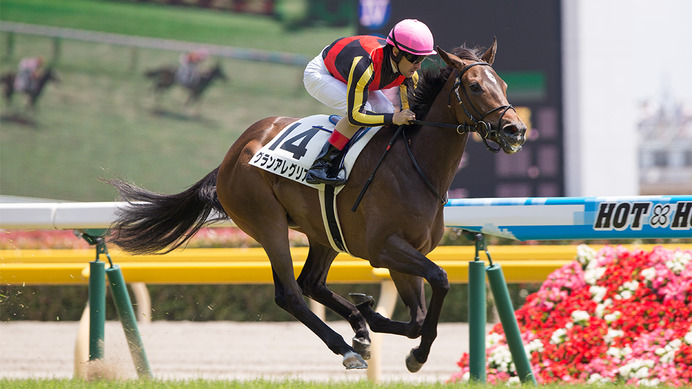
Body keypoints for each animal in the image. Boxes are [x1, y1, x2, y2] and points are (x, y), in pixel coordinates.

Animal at [111, 41, 528, 372]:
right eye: (474, 86)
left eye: (505, 85)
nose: (515, 130)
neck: (415, 164)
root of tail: (231, 155)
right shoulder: (383, 248)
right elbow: (439, 281)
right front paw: (414, 353)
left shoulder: (406, 252)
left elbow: (417, 316)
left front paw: (374, 318)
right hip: (267, 223)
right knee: (290, 293)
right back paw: (347, 348)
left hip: (323, 232)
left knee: (311, 282)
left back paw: (358, 327)